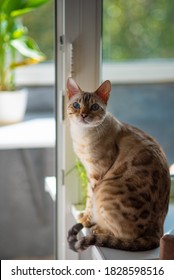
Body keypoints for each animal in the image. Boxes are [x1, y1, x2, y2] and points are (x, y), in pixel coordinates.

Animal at [66, 77, 170, 253]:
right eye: (76, 105)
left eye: (94, 107)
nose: (83, 115)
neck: (81, 135)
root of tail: (159, 232)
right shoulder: (88, 172)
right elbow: (88, 198)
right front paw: (84, 216)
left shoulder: (95, 174)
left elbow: (90, 200)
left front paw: (86, 220)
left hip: (104, 189)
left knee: (126, 235)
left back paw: (99, 229)